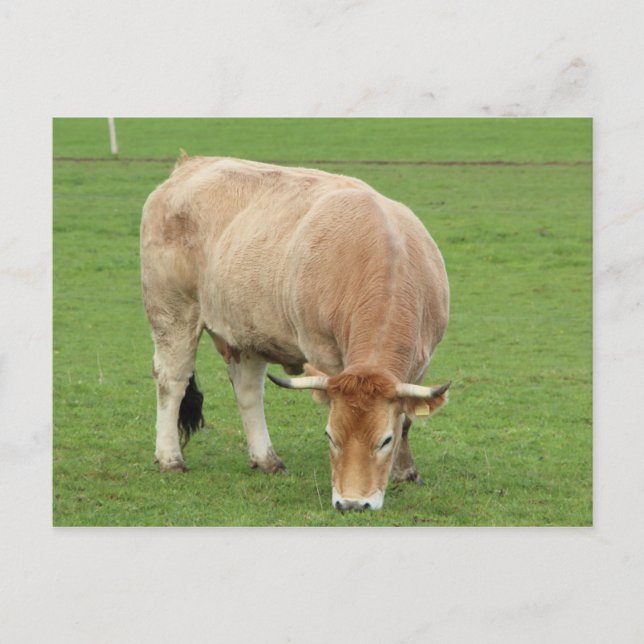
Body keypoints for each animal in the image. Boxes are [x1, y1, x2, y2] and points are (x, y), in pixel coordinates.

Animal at [140, 153, 450, 511]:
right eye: (331, 437)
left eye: (386, 440)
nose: (352, 503)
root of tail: (189, 165)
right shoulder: (325, 356)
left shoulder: (421, 362)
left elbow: (409, 419)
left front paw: (406, 471)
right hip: (173, 312)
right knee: (172, 381)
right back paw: (170, 458)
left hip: (247, 330)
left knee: (248, 390)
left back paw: (266, 459)